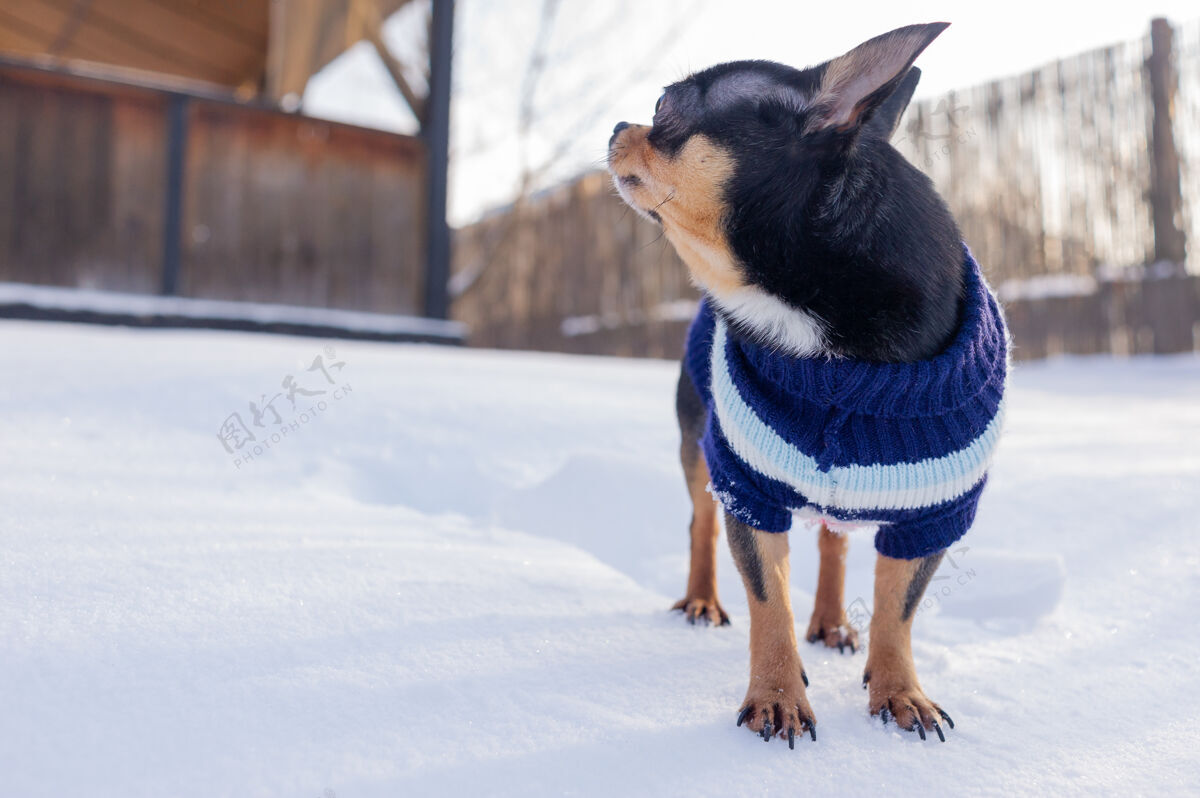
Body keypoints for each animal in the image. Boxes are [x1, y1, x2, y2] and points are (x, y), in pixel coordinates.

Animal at [604, 24, 1008, 748]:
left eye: (664, 106)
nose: (620, 125)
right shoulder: (748, 487)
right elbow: (769, 602)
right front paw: (776, 697)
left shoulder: (933, 516)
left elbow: (898, 608)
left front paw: (900, 690)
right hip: (696, 442)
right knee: (701, 522)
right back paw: (702, 600)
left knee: (833, 539)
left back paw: (832, 622)